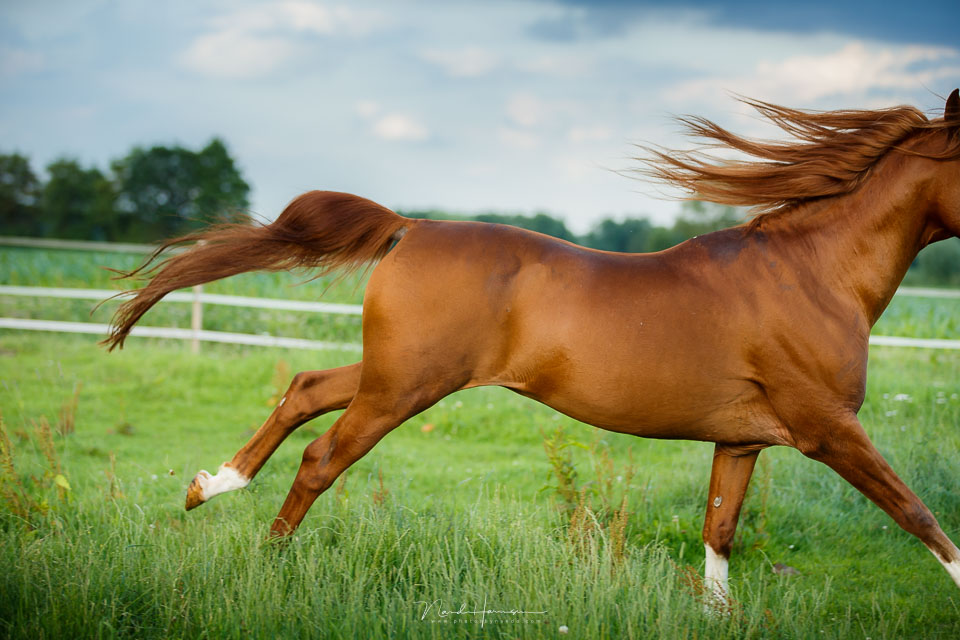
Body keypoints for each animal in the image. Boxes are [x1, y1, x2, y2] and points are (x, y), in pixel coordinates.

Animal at [105, 90, 960, 600]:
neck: (812, 274)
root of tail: (409, 227)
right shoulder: (828, 429)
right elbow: (920, 515)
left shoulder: (743, 440)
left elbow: (719, 534)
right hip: (405, 387)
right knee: (322, 457)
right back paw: (266, 560)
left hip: (396, 374)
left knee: (306, 388)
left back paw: (210, 487)